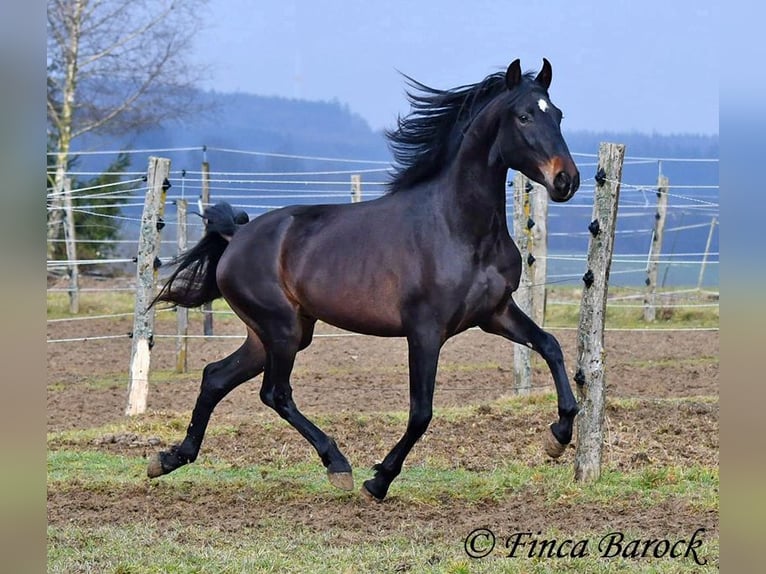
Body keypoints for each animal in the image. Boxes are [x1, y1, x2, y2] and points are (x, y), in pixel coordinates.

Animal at [147, 56, 584, 502]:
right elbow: (421, 412)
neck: (459, 227)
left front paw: (558, 437)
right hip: (281, 329)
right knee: (275, 392)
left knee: (215, 377)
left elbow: (551, 346)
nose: (566, 180)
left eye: (558, 115)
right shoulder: (425, 330)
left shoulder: (496, 312)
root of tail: (237, 236)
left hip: (275, 333)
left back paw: (170, 458)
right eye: (524, 116)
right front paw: (379, 480)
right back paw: (337, 465)